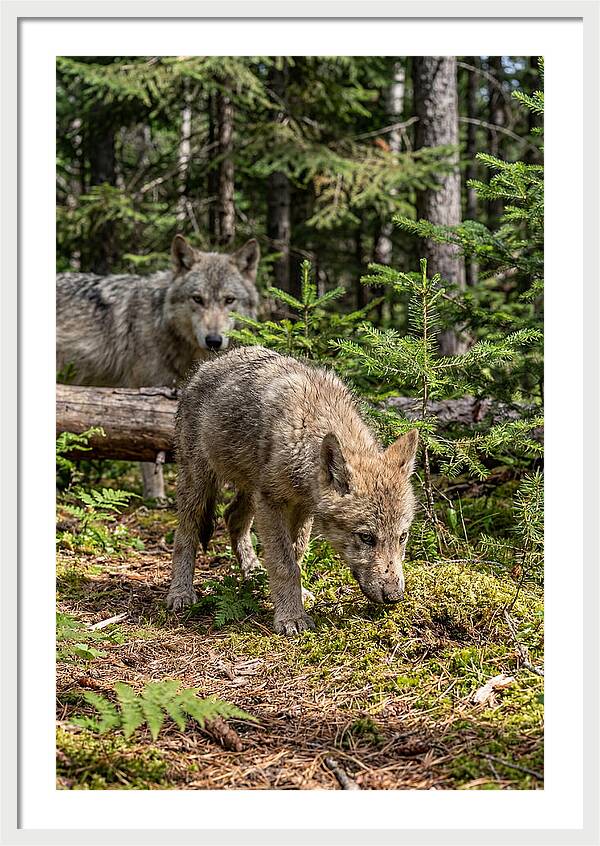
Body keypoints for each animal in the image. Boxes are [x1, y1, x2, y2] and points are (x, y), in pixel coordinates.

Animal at [56, 235, 260, 498]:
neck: (162, 323)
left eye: (229, 300)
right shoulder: (144, 397)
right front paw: (156, 498)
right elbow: (148, 453)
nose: (214, 340)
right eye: (197, 299)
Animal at [168, 346, 419, 635]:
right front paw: (290, 617)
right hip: (199, 484)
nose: (394, 596)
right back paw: (180, 593)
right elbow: (284, 564)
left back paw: (253, 573)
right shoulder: (272, 503)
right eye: (366, 537)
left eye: (402, 537)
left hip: (251, 491)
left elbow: (296, 556)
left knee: (232, 516)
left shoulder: (302, 508)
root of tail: (206, 365)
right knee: (185, 534)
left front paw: (295, 597)